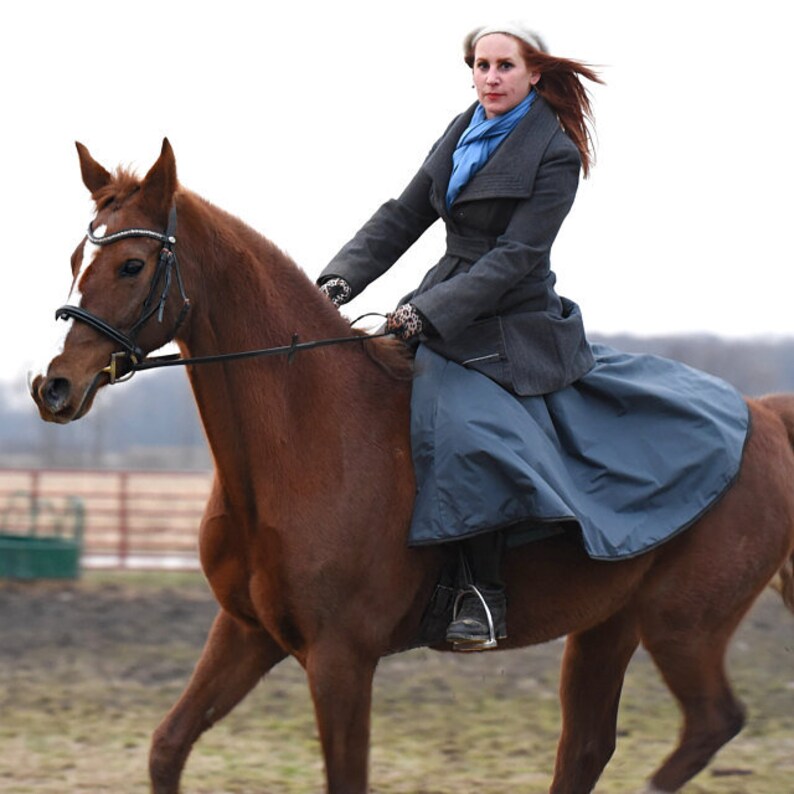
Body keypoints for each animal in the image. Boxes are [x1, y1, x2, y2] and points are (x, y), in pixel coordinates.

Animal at [30, 139, 794, 794]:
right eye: (73, 258)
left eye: (132, 265)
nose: (53, 387)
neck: (304, 440)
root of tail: (760, 414)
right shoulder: (246, 632)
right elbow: (167, 746)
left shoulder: (341, 659)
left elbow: (345, 777)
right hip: (609, 625)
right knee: (587, 747)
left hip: (682, 626)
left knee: (710, 723)